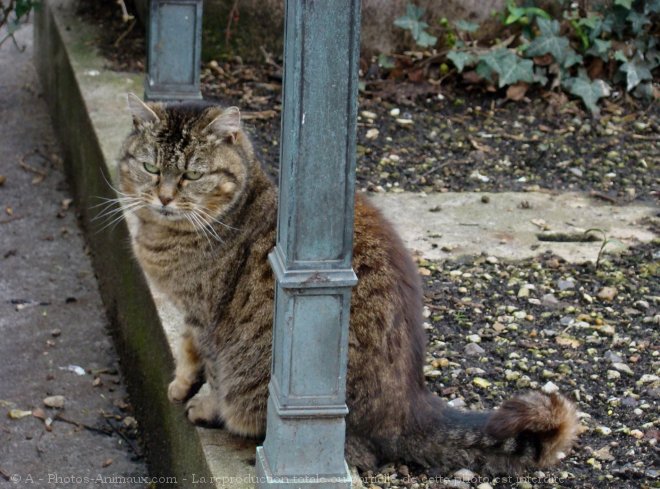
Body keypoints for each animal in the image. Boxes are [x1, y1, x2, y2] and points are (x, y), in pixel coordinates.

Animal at [118, 94, 576, 472]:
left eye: (193, 176)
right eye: (151, 167)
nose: (164, 197)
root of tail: (409, 409)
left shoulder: (207, 316)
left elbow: (207, 366)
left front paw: (198, 401)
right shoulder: (191, 313)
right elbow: (188, 349)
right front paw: (181, 384)